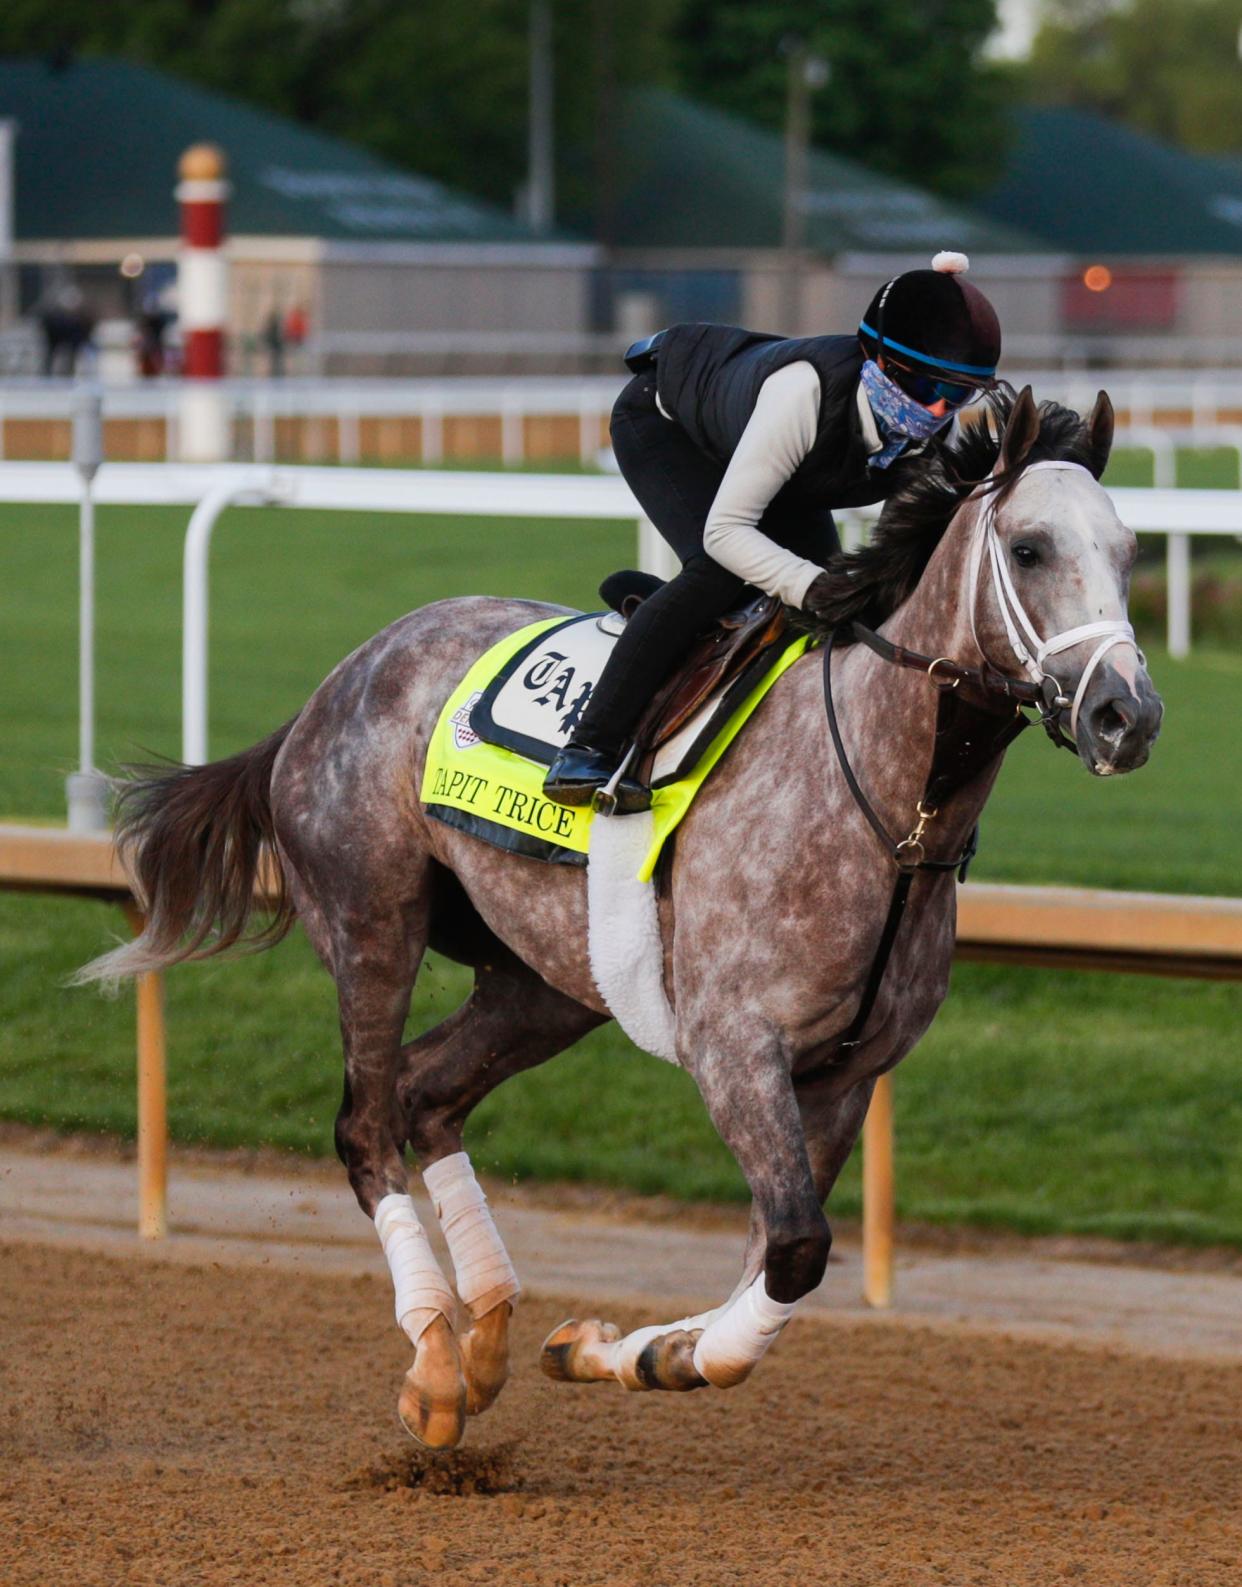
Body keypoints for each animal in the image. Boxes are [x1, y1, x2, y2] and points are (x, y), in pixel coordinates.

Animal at [80, 390, 1167, 1447]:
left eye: (1128, 551)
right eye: (1029, 548)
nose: (1128, 714)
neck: (888, 809)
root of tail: (327, 691)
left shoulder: (848, 1074)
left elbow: (770, 1263)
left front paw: (624, 1349)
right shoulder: (735, 1045)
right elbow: (797, 1247)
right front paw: (643, 1351)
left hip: (550, 979)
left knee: (427, 1092)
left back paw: (487, 1338)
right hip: (370, 920)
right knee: (366, 1123)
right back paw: (434, 1365)